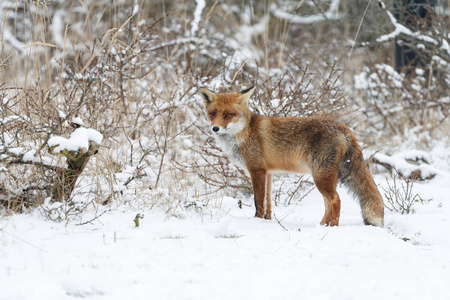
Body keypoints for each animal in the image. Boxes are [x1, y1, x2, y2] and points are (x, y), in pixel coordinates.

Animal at [200, 85, 384, 226]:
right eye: (213, 114)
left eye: (228, 115)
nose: (215, 128)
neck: (244, 133)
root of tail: (343, 127)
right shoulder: (268, 173)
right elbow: (268, 202)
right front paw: (267, 221)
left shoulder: (256, 170)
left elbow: (258, 202)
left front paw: (256, 222)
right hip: (324, 177)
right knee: (328, 204)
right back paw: (322, 225)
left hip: (320, 177)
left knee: (335, 201)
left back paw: (333, 226)